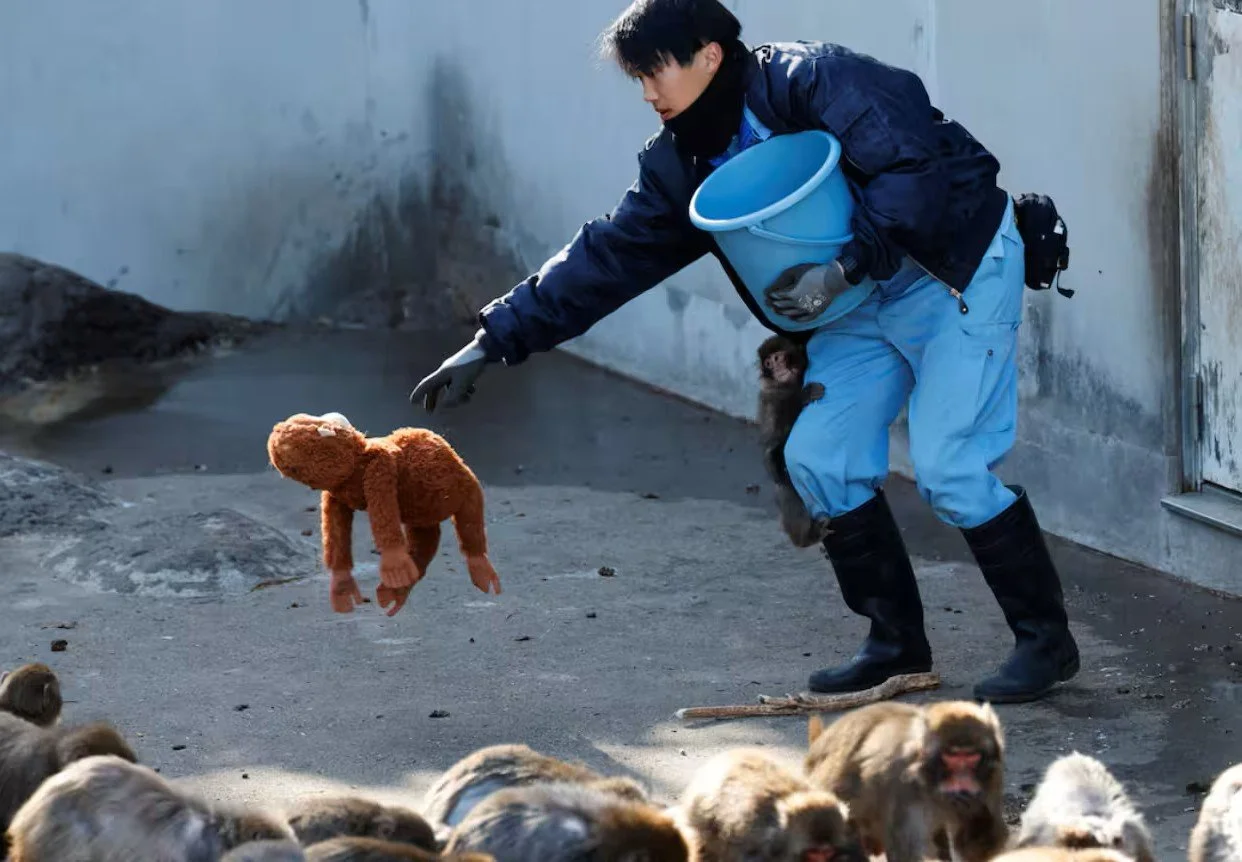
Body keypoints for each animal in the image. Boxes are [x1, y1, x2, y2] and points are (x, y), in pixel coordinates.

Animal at [756, 335, 830, 548]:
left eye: (777, 358)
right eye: (768, 363)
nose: (776, 368)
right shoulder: (771, 399)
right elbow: (775, 438)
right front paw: (804, 395)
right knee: (786, 487)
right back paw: (807, 538)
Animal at [803, 699, 1008, 862]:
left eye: (972, 757)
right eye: (952, 757)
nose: (964, 780)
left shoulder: (993, 775)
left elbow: (976, 848)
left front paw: (977, 810)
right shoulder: (902, 783)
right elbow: (909, 853)